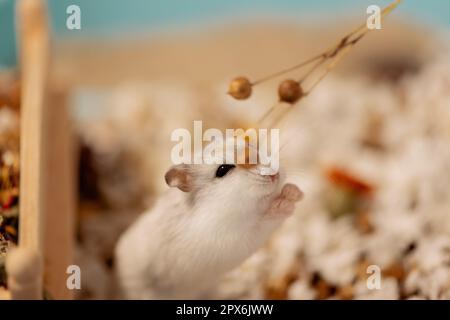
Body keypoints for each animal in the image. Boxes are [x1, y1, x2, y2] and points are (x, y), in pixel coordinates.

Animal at [115, 152, 302, 300]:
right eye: (223, 170)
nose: (275, 174)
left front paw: (294, 191)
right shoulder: (234, 239)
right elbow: (264, 222)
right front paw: (285, 203)